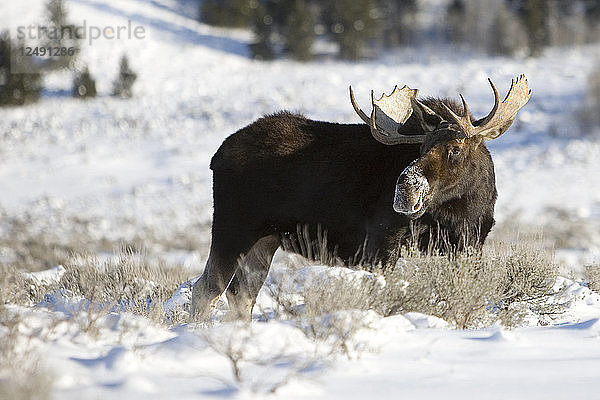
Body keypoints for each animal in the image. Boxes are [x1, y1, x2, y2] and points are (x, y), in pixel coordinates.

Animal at [191, 74, 528, 318]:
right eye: (420, 147)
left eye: (455, 148)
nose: (405, 190)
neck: (463, 209)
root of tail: (216, 156)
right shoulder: (381, 241)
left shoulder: (470, 244)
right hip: (234, 228)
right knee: (206, 289)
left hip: (265, 240)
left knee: (240, 294)